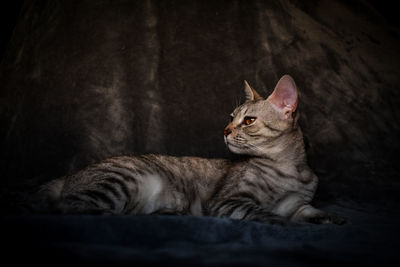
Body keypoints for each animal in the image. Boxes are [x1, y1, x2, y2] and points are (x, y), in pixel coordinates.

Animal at [35, 75, 346, 226]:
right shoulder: (230, 201)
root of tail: (69, 176)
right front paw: (284, 222)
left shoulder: (296, 203)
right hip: (122, 180)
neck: (290, 170)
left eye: (248, 120)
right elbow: (265, 213)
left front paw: (331, 218)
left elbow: (309, 210)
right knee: (68, 207)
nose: (225, 131)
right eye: (230, 117)